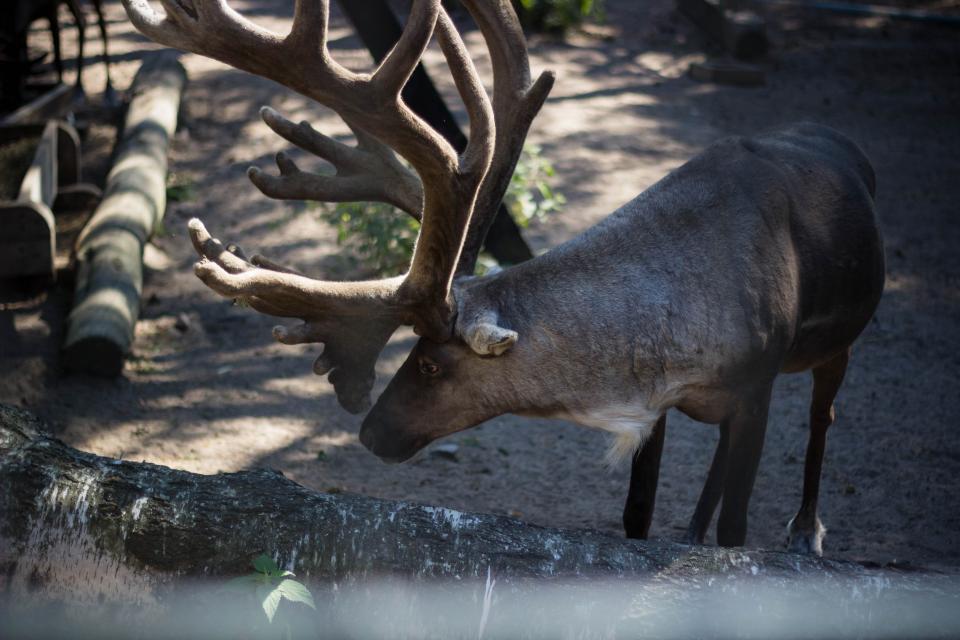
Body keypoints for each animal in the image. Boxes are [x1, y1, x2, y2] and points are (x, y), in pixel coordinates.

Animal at [119, 0, 885, 555]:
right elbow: (639, 519)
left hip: (840, 345)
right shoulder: (664, 407)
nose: (370, 433)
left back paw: (806, 532)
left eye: (431, 363)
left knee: (822, 418)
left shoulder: (755, 387)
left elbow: (737, 530)